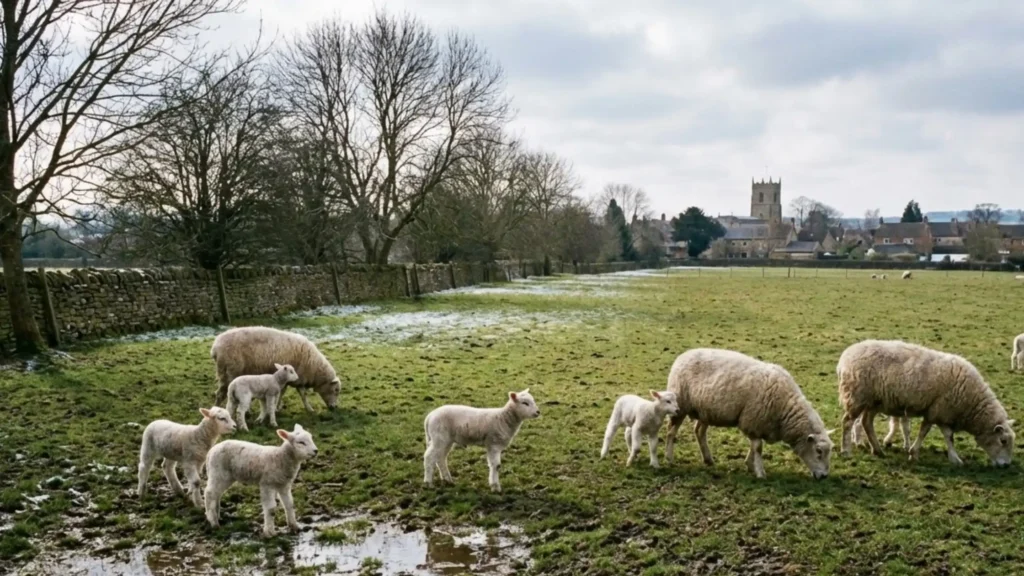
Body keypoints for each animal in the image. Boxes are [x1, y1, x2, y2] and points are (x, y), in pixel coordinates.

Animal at [211, 326, 341, 413]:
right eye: (336, 390)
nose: (334, 407)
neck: (313, 366)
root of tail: (215, 347)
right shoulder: (295, 378)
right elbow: (300, 395)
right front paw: (309, 409)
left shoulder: (295, 380)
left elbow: (291, 394)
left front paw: (278, 407)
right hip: (230, 373)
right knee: (220, 394)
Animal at [665, 348, 834, 479]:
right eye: (818, 451)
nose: (824, 477)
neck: (785, 407)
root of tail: (683, 355)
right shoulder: (753, 421)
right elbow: (758, 447)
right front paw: (760, 472)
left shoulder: (758, 424)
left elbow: (754, 446)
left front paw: (750, 465)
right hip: (680, 405)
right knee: (671, 432)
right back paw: (669, 458)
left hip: (705, 410)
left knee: (699, 431)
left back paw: (708, 459)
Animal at [837, 339, 1015, 466]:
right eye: (1003, 441)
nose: (1006, 465)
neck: (971, 403)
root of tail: (845, 356)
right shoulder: (936, 411)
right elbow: (927, 432)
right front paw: (914, 453)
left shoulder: (943, 413)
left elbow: (948, 437)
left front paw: (954, 458)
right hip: (856, 396)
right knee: (847, 422)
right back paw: (846, 450)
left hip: (874, 401)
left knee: (866, 422)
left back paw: (877, 450)